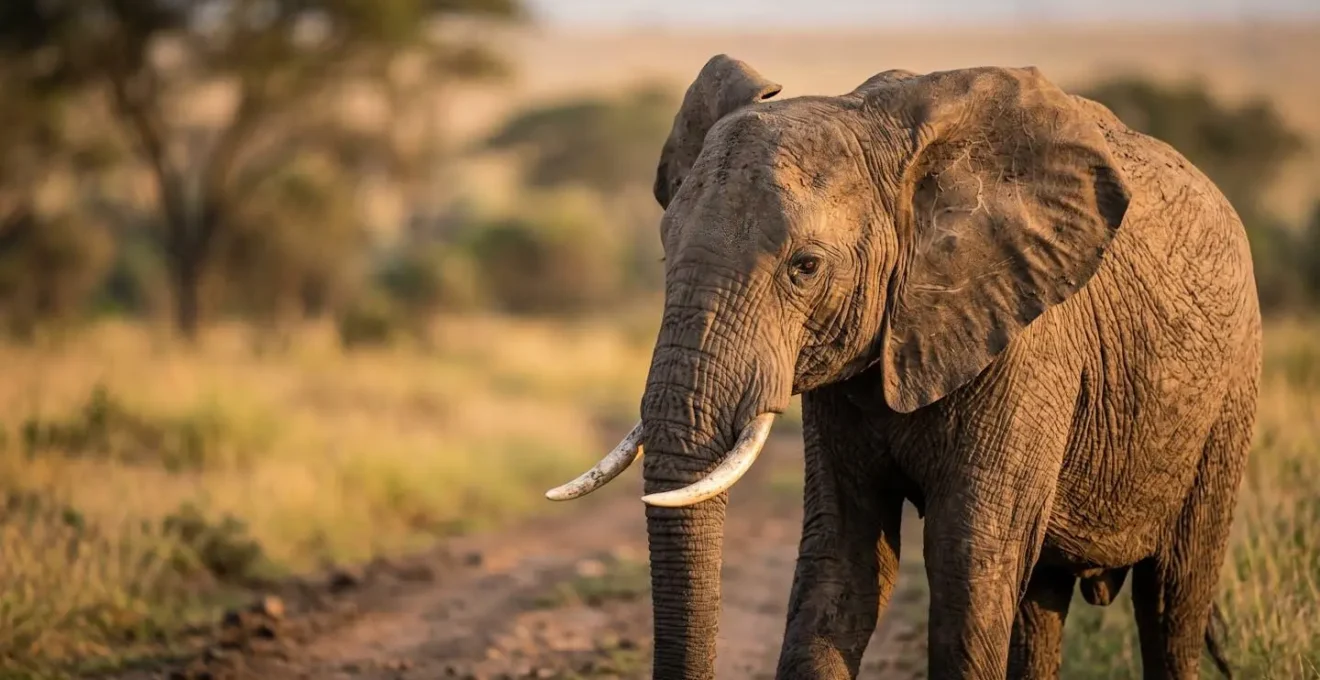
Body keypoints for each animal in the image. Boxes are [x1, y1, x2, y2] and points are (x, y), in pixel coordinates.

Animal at [545, 55, 1261, 680]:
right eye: (665, 252)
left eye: (806, 266)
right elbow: (840, 558)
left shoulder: (1029, 344)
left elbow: (967, 564)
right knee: (1042, 602)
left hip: (1228, 403)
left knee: (1172, 602)